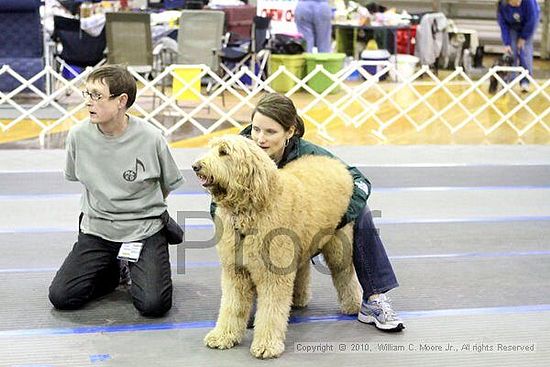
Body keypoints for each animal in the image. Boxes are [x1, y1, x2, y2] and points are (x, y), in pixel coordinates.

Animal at [193, 135, 362, 360]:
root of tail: (335, 163)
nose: (196, 166)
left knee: (345, 275)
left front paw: (266, 345)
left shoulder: (273, 275)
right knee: (303, 269)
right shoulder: (235, 271)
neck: (251, 209)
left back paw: (353, 305)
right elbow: (232, 305)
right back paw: (299, 299)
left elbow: (271, 311)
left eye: (224, 152)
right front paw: (223, 336)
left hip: (339, 245)